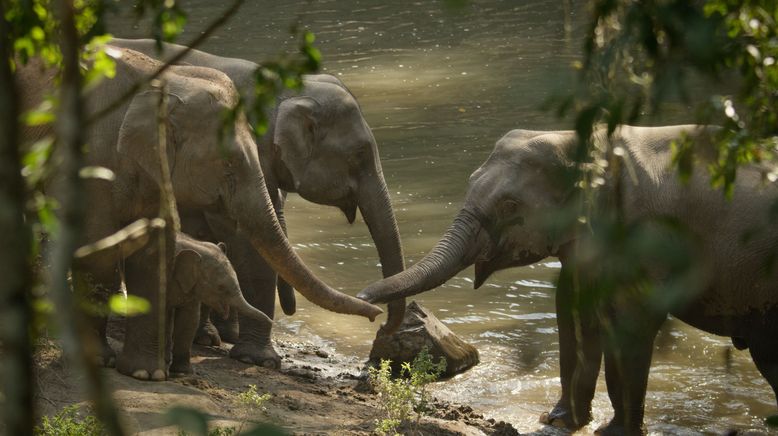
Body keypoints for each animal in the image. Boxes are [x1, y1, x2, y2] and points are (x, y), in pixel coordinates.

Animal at [166, 233, 270, 376]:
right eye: (221, 287)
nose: (271, 321)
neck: (195, 244)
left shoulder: (191, 286)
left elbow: (189, 319)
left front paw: (183, 372)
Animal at [358, 124, 776, 434]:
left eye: (510, 205)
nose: (365, 300)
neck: (591, 138)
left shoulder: (647, 236)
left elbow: (632, 319)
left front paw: (613, 432)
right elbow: (574, 307)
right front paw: (559, 420)